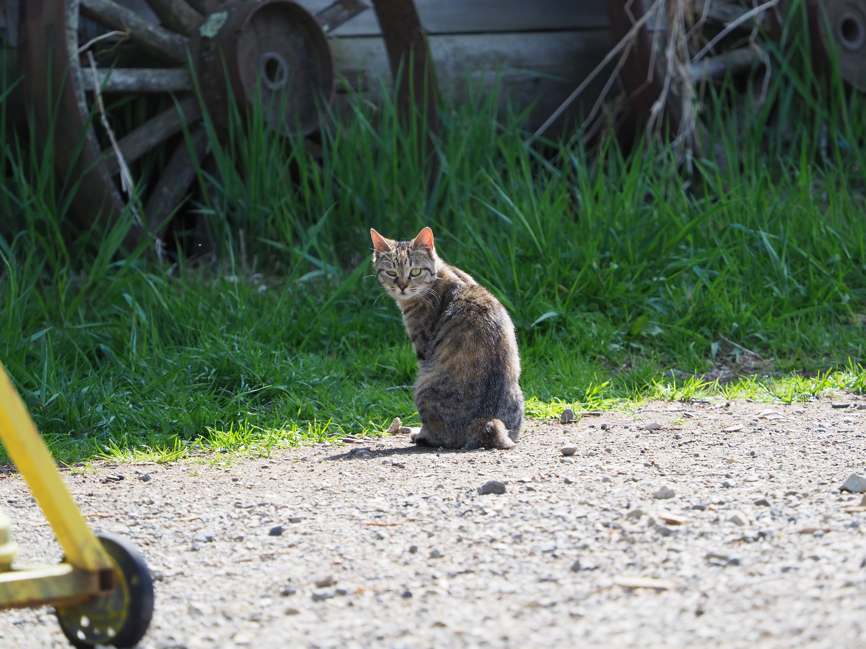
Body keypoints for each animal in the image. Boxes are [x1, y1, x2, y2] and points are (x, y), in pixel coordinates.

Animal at [370, 225, 524, 448]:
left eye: (415, 271)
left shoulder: (423, 347)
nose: (402, 286)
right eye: (391, 272)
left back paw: (421, 434)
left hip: (423, 384)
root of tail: (484, 421)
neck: (440, 274)